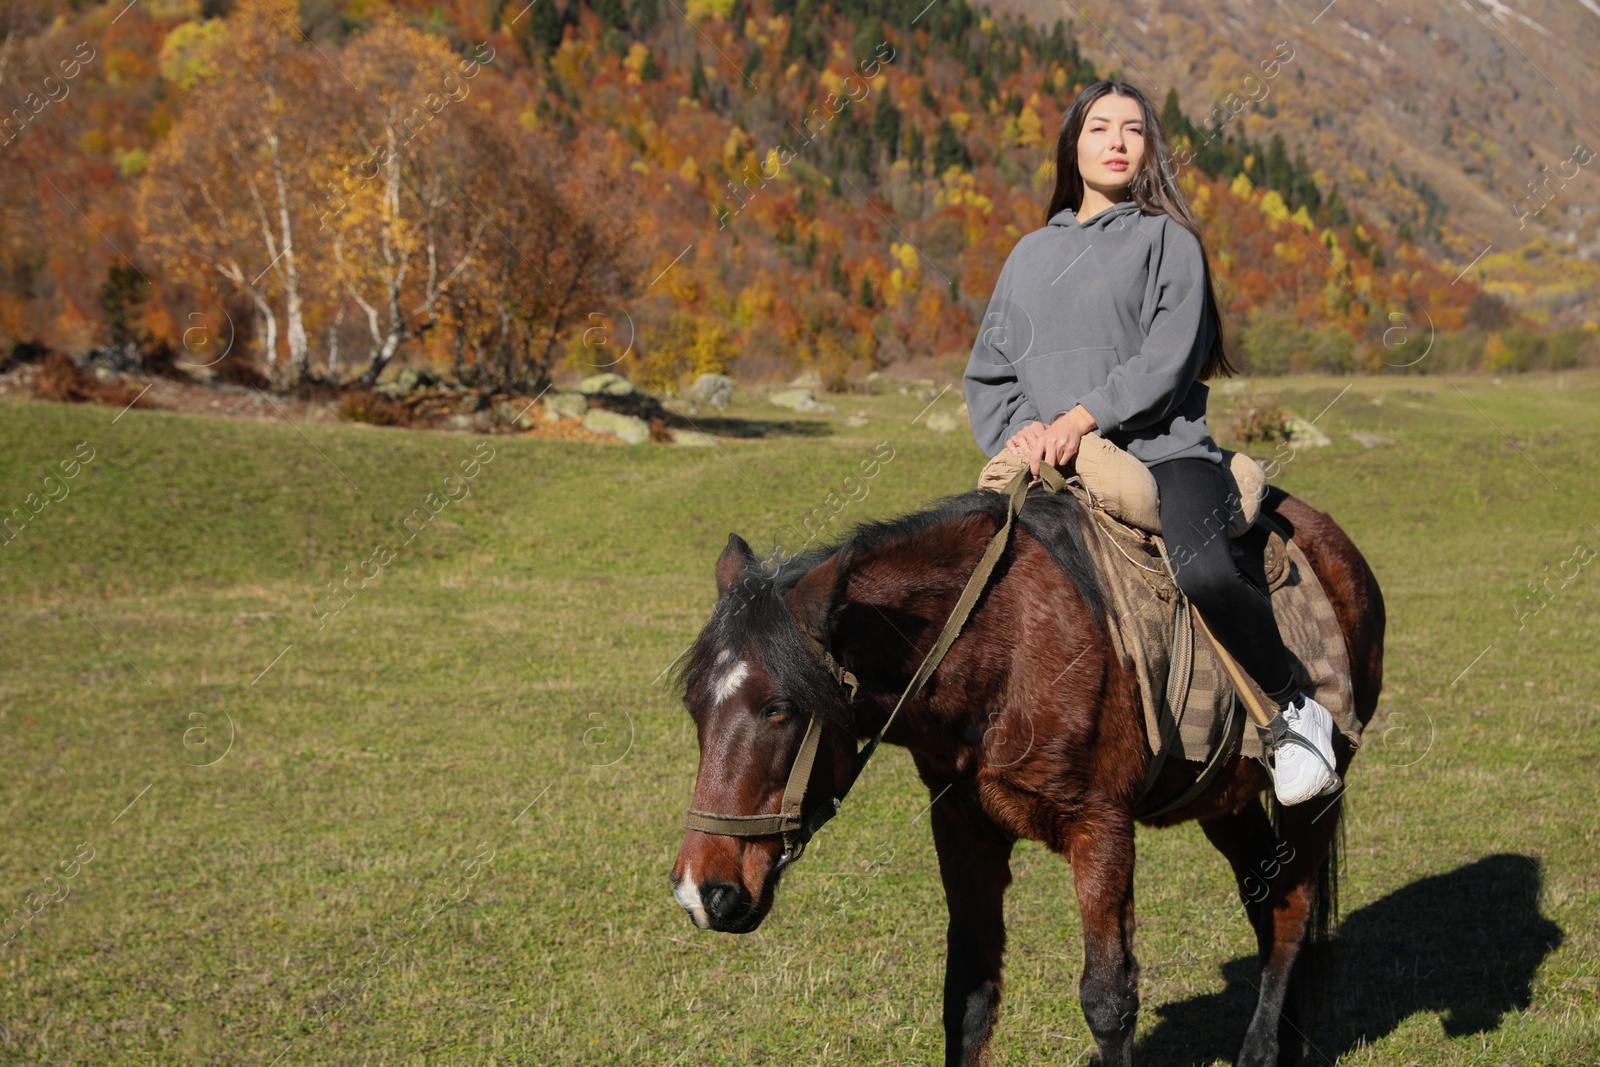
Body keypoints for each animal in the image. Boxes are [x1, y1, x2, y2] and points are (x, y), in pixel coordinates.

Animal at [668, 483, 1382, 1067]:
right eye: (695, 705)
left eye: (779, 708)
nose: (703, 892)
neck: (1003, 651)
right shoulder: (964, 828)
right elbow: (968, 995)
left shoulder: (1101, 830)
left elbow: (1108, 999)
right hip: (1225, 799)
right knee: (1266, 897)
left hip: (1316, 797)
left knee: (1291, 908)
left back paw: (1262, 1052)